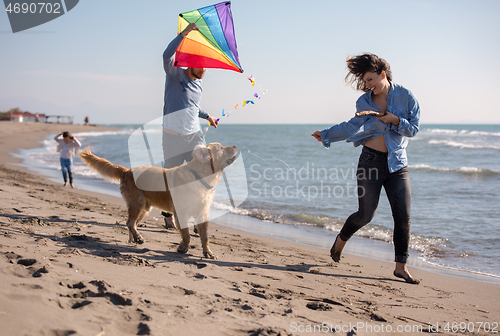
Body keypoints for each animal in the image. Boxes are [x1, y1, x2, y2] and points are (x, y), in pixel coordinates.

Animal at [79, 143, 239, 258]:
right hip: (137, 204)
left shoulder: (202, 214)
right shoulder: (181, 213)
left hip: (144, 209)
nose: (236, 146)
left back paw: (134, 239)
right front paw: (183, 248)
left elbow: (204, 238)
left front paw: (207, 252)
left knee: (131, 223)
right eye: (221, 148)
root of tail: (127, 170)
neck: (199, 177)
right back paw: (138, 238)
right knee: (129, 222)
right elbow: (186, 234)